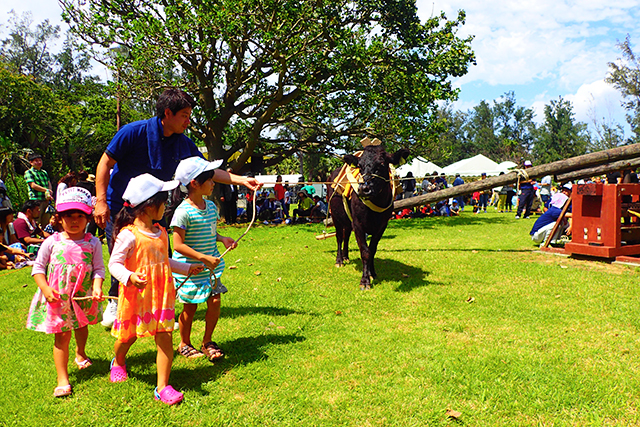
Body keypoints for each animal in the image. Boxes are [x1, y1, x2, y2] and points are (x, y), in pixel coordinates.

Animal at [330, 145, 410, 290]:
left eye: (382, 164)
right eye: (360, 166)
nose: (363, 189)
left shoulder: (381, 226)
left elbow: (372, 250)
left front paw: (372, 273)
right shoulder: (358, 225)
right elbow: (365, 251)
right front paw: (365, 280)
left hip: (348, 222)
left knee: (346, 236)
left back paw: (346, 256)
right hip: (336, 217)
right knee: (339, 237)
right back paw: (339, 260)